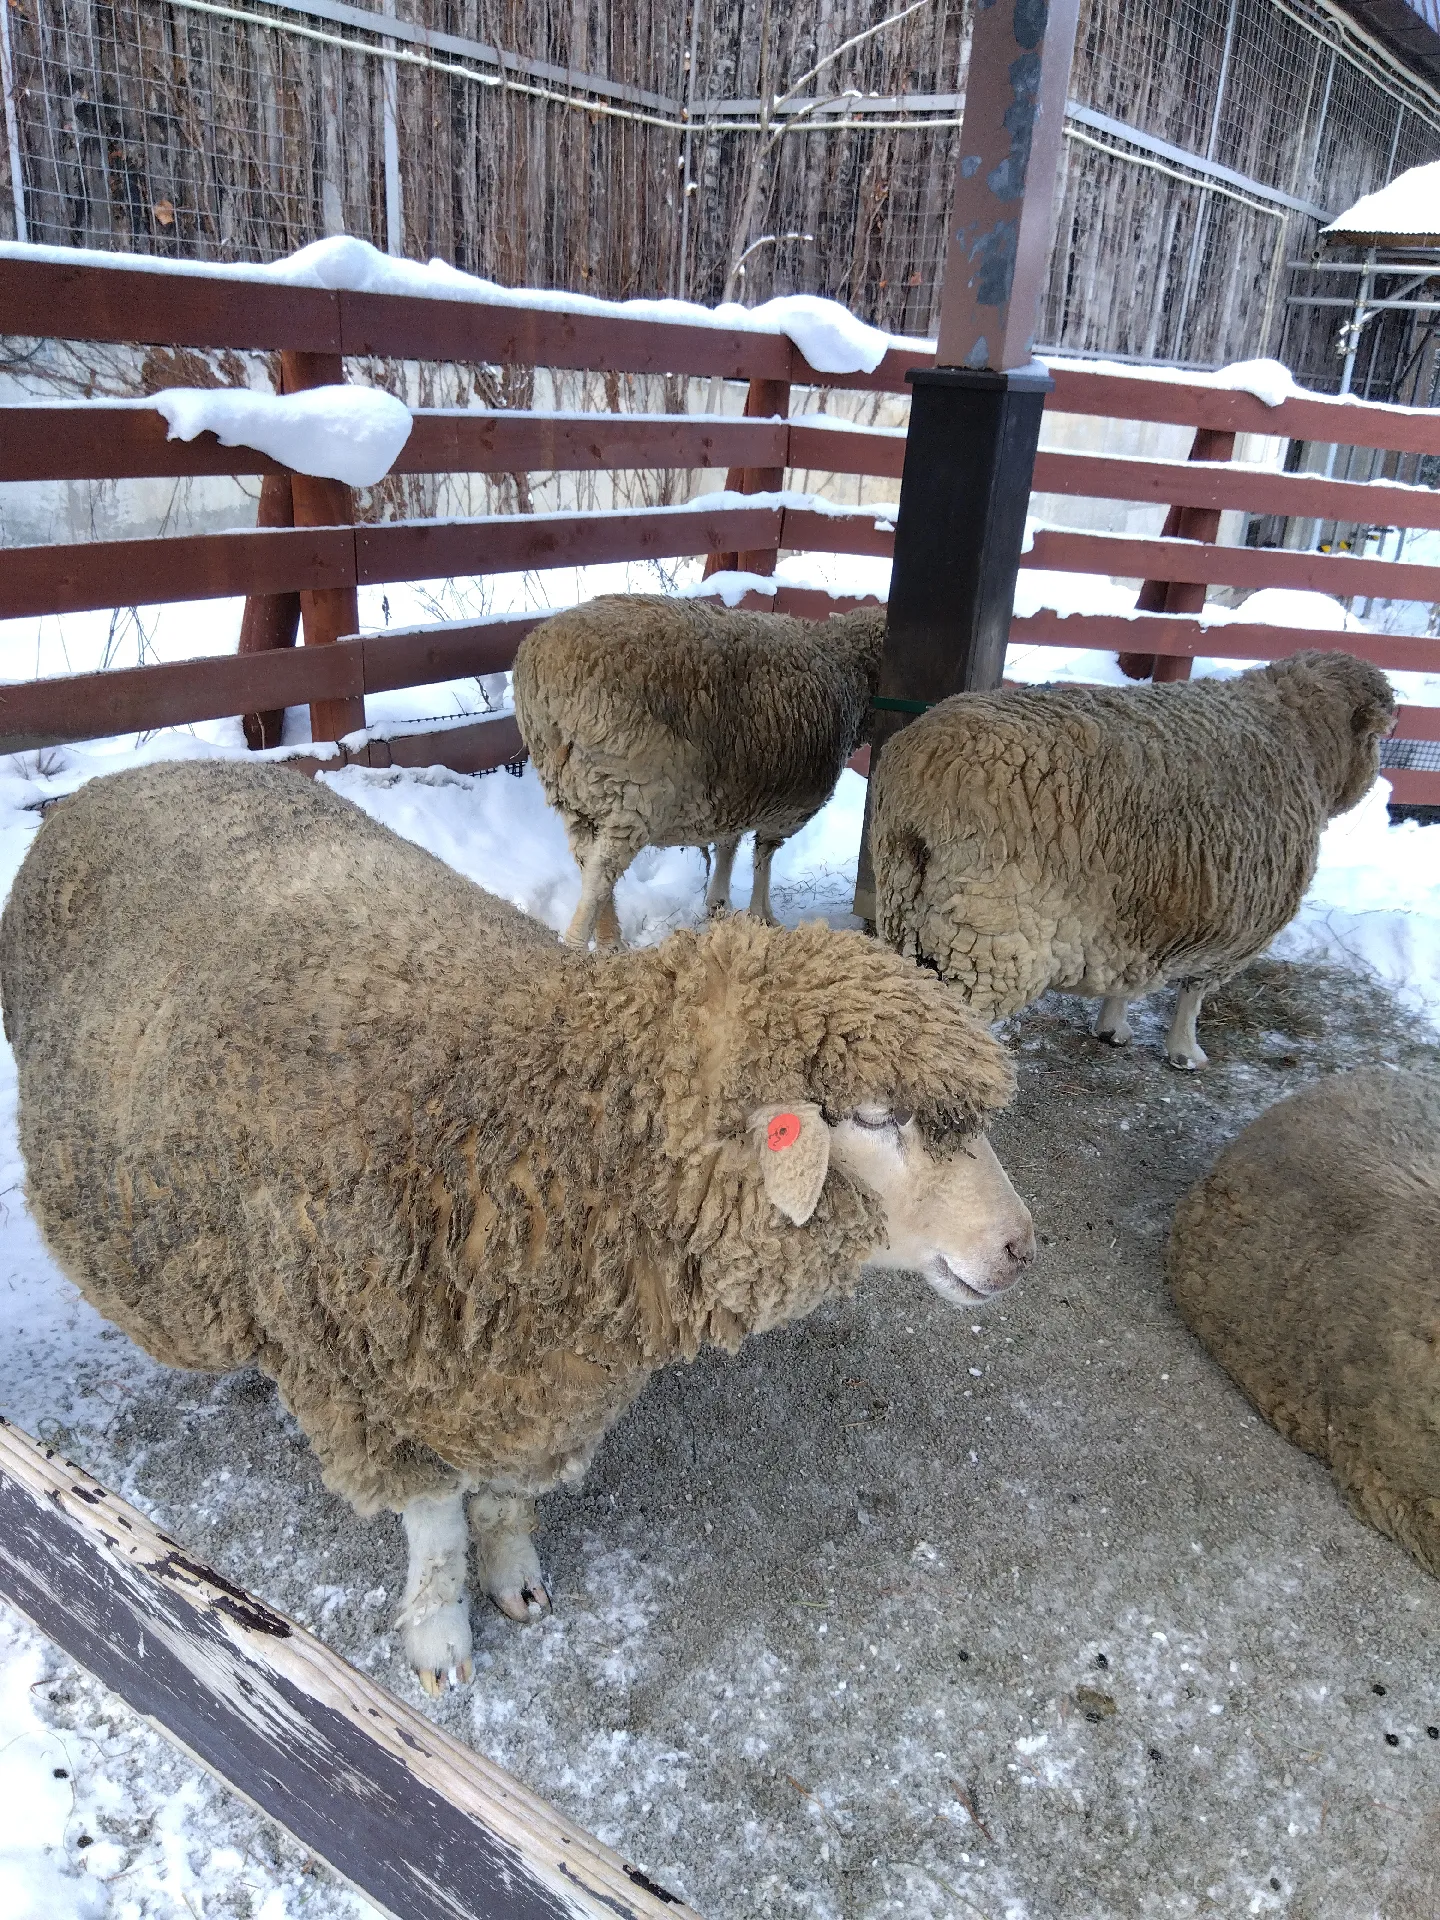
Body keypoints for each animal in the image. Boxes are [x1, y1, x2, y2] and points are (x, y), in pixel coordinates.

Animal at [2, 764, 1036, 1697]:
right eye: (875, 1117)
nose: (1021, 1247)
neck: (545, 1116)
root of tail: (111, 782)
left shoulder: (530, 1377)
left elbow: (500, 1503)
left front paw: (515, 1578)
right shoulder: (370, 1374)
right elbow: (433, 1523)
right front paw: (439, 1636)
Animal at [514, 583, 887, 944]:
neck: (844, 667)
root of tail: (543, 669)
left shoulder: (738, 793)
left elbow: (728, 845)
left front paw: (719, 902)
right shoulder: (786, 808)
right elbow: (763, 859)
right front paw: (762, 914)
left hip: (573, 792)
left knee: (585, 860)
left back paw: (609, 942)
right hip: (631, 790)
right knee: (599, 875)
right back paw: (580, 945)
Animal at [867, 645, 1397, 1067]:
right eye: (1376, 739)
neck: (1303, 740)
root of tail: (920, 775)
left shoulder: (1135, 916)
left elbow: (1128, 977)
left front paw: (1112, 1028)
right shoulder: (1235, 923)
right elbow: (1192, 993)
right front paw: (1185, 1052)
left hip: (906, 905)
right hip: (985, 936)